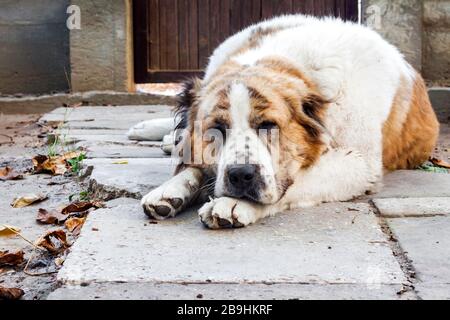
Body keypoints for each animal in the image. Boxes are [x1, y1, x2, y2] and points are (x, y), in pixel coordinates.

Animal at [142, 15, 440, 229]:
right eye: (216, 129)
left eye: (268, 125)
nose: (241, 175)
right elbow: (191, 164)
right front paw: (168, 190)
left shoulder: (360, 164)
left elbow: (297, 182)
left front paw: (232, 204)